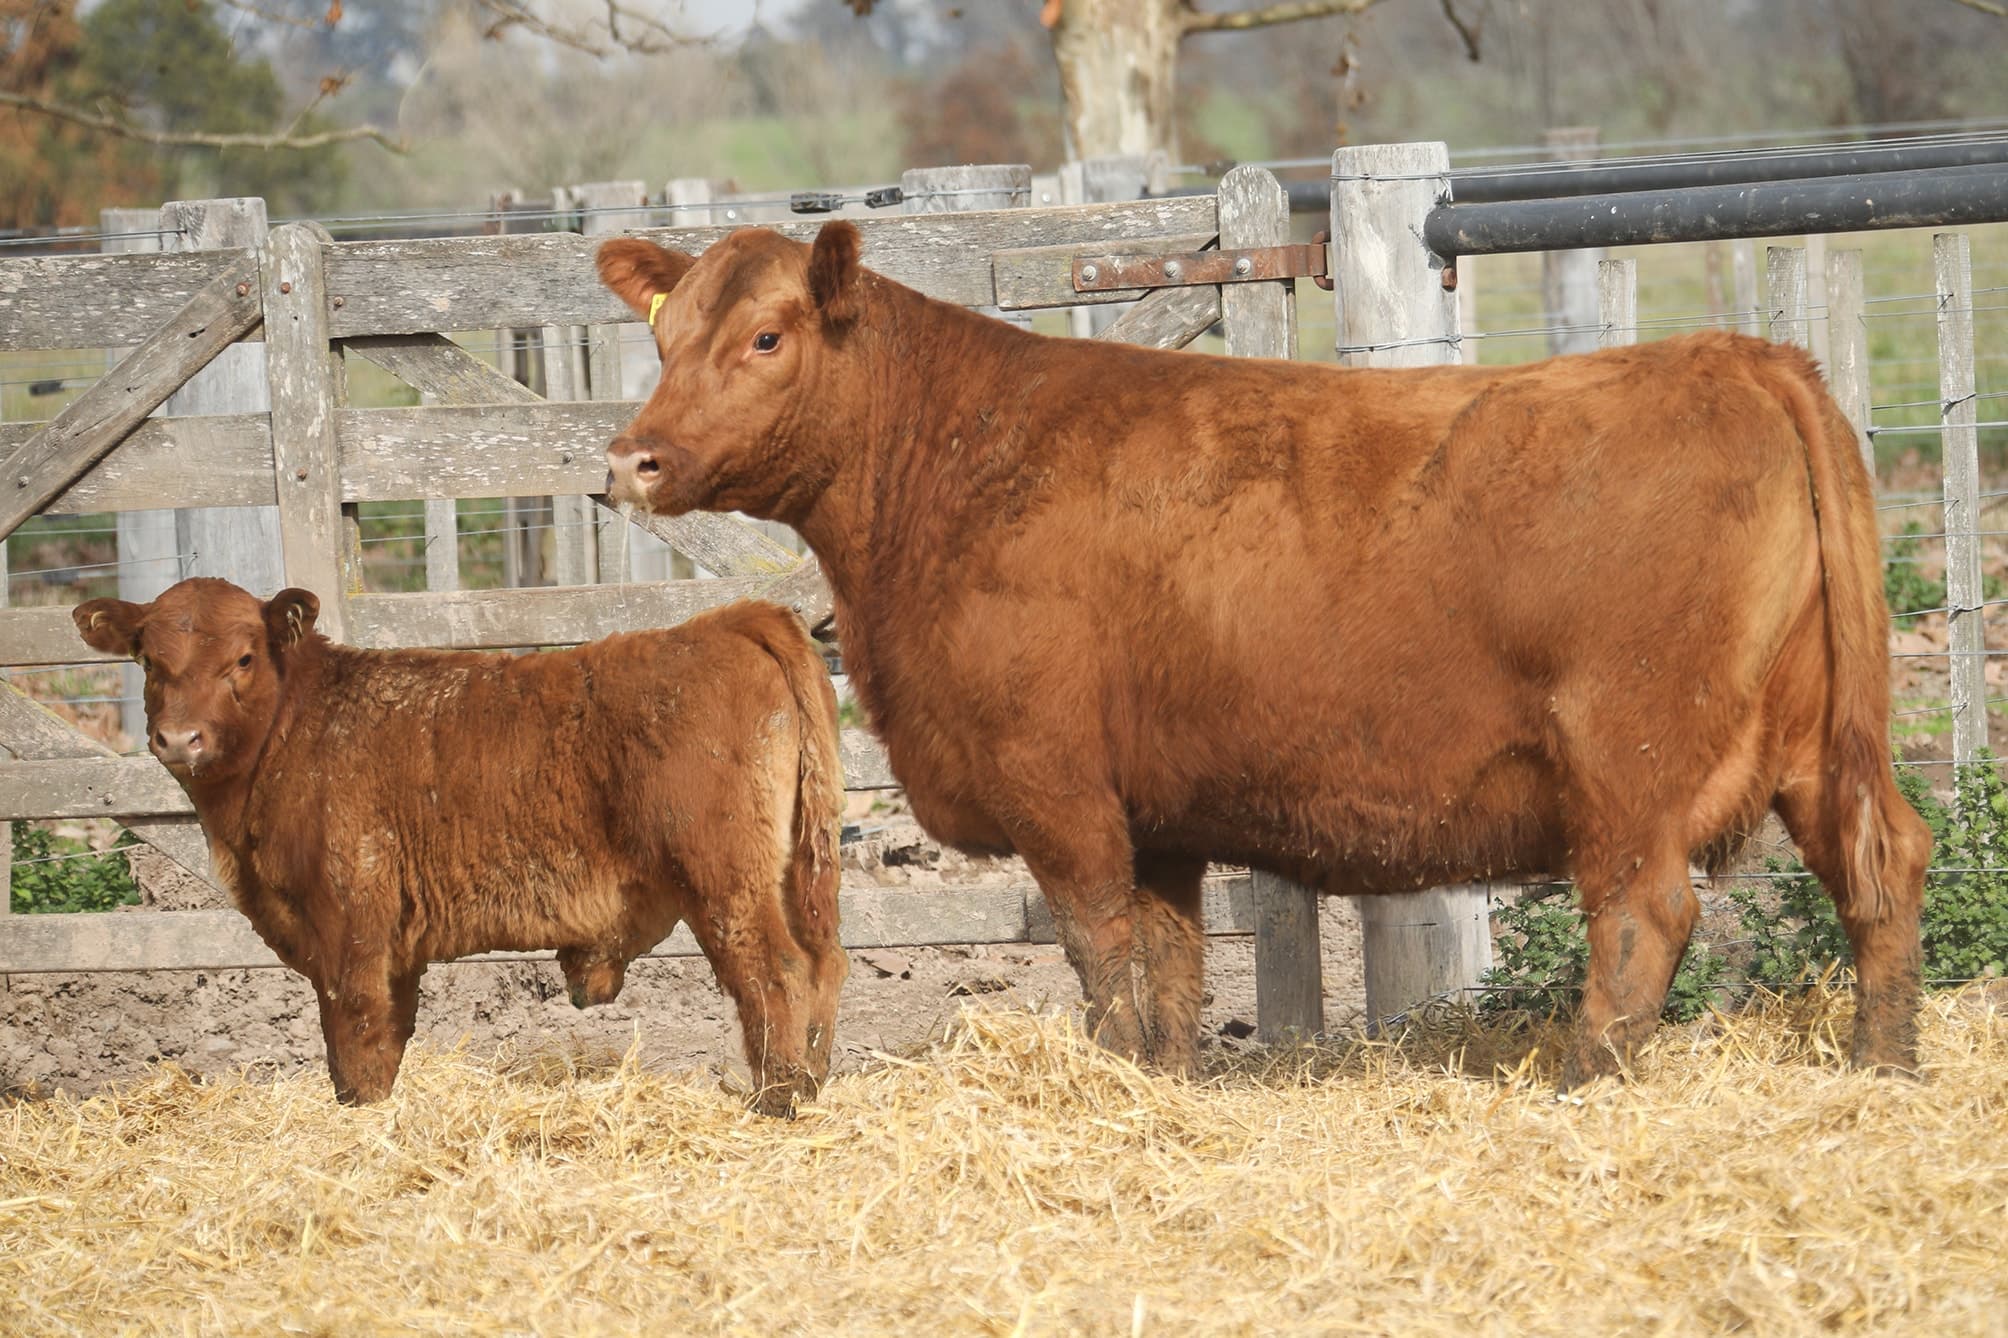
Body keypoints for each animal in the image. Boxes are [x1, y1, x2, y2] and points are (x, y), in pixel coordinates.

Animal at [73, 579, 847, 1114]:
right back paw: (810, 1085)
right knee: (824, 963)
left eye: (242, 657)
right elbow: (383, 1036)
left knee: (775, 972)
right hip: (794, 874)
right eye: (148, 659)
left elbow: (354, 1030)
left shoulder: (350, 917)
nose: (179, 739)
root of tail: (725, 622)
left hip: (726, 882)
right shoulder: (391, 944)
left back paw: (778, 1098)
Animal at [594, 220, 1929, 1089]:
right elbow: (1174, 966)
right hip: (1812, 744)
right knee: (1880, 865)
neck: (950, 463)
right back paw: (1884, 1064)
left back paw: (1584, 1082)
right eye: (666, 336)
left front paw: (1113, 1083)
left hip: (1627, 756)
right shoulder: (1161, 819)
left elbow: (1100, 953)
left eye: (767, 337)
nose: (632, 458)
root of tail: (1740, 356)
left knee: (1643, 912)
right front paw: (1170, 1085)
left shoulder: (1055, 787)